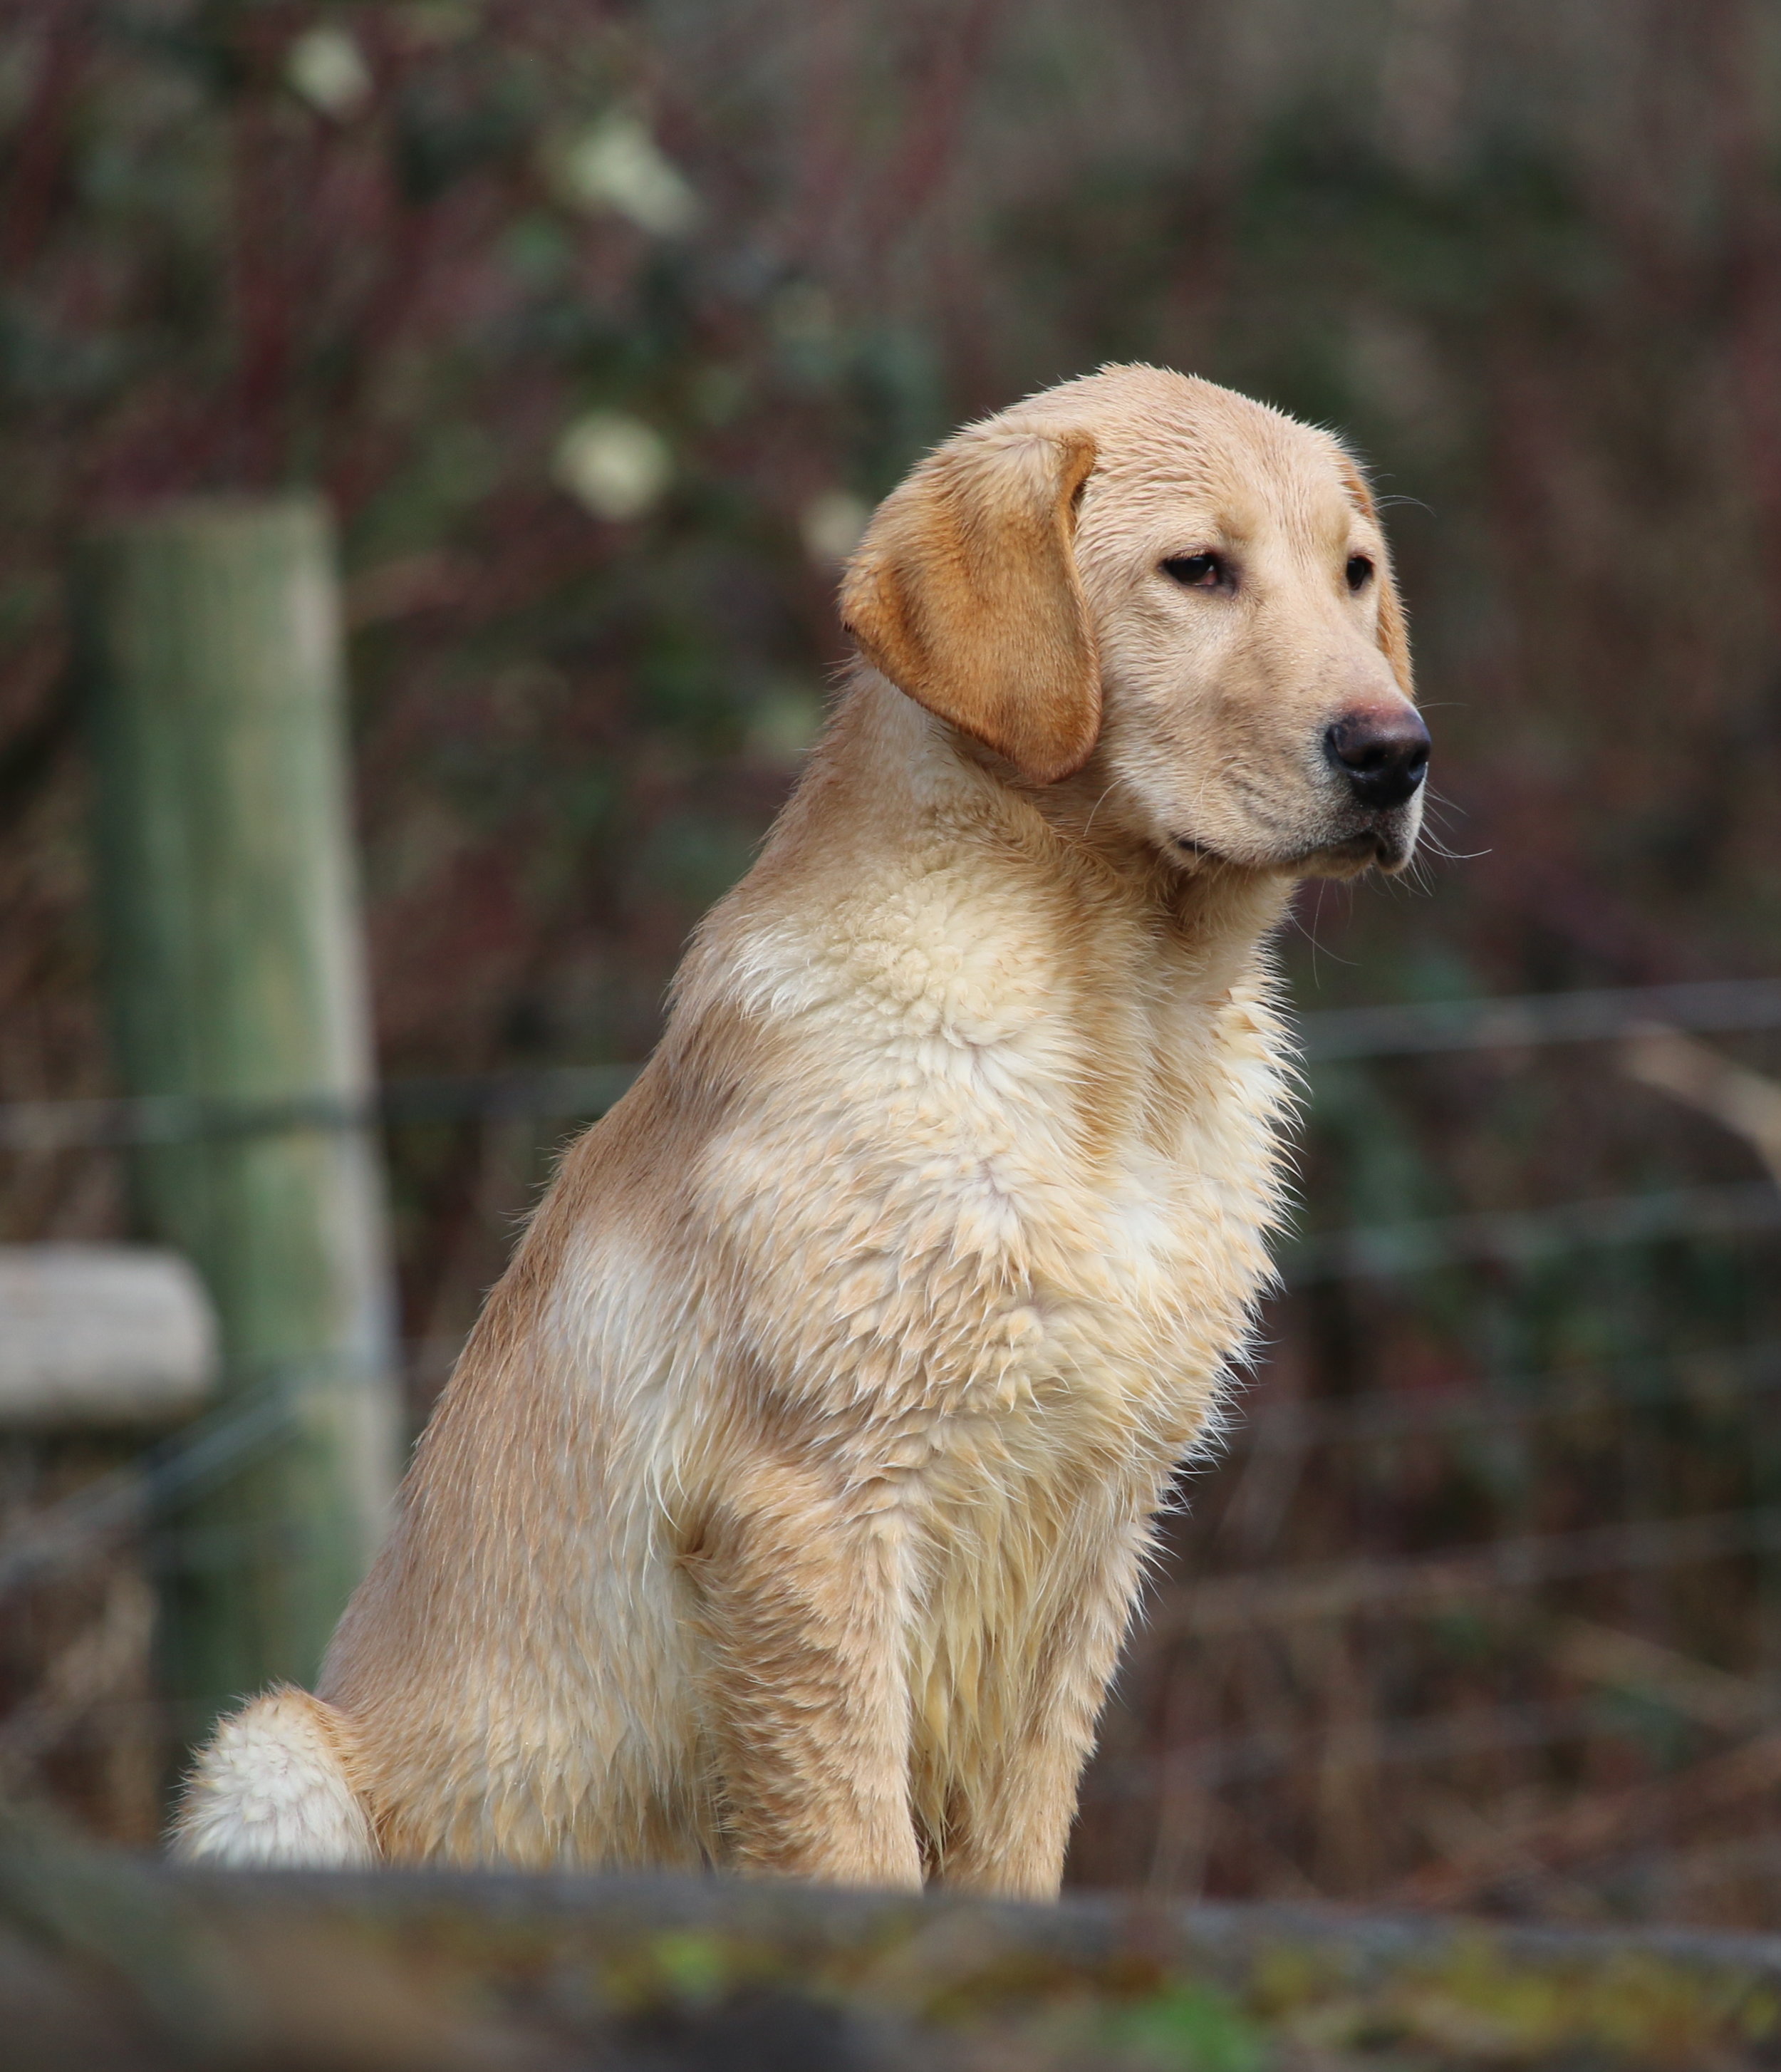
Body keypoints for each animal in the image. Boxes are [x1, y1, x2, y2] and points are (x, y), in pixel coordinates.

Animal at [174, 360, 1425, 1897]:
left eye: (1354, 573)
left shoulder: (1090, 1540)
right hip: (273, 1751)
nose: (1397, 753)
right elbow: (854, 1858)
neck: (1125, 1027)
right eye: (1197, 569)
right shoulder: (816, 1510)